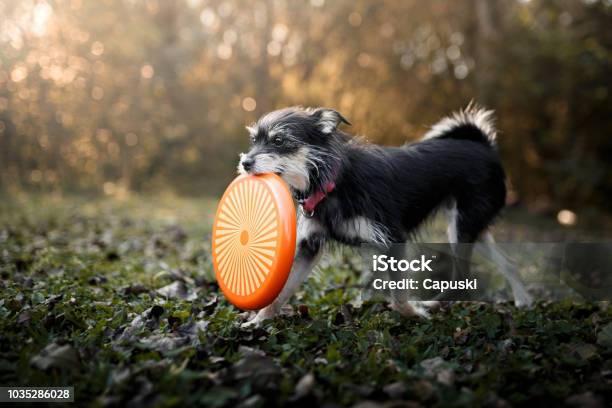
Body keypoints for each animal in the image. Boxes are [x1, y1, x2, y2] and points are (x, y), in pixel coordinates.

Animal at [238, 105, 532, 326]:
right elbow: (282, 290)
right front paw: (259, 321)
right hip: (469, 228)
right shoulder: (309, 246)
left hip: (462, 226)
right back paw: (523, 300)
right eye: (254, 141)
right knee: (508, 262)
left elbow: (398, 295)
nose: (245, 162)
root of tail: (483, 146)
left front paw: (413, 314)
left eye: (279, 140)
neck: (334, 182)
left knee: (463, 277)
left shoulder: (394, 240)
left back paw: (434, 305)